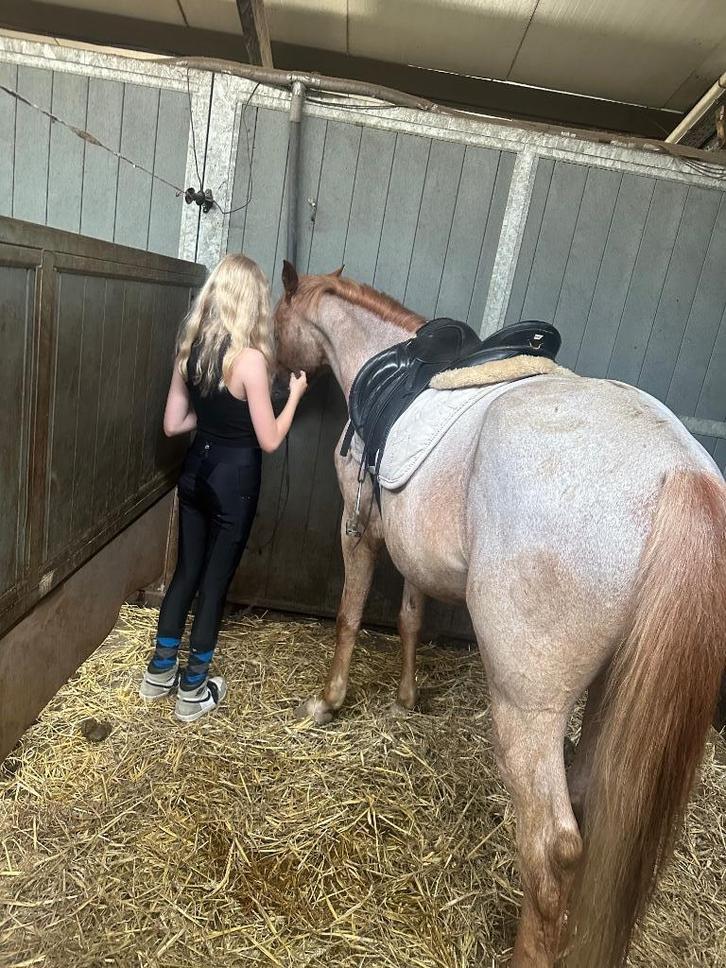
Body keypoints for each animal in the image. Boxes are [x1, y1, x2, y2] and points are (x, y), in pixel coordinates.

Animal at [273, 261, 726, 968]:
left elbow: (350, 616)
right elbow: (410, 617)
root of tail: (679, 474)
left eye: (276, 319)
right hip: (609, 690)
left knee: (553, 851)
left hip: (526, 704)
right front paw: (406, 698)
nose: (273, 376)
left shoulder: (361, 529)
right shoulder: (415, 553)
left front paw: (329, 701)